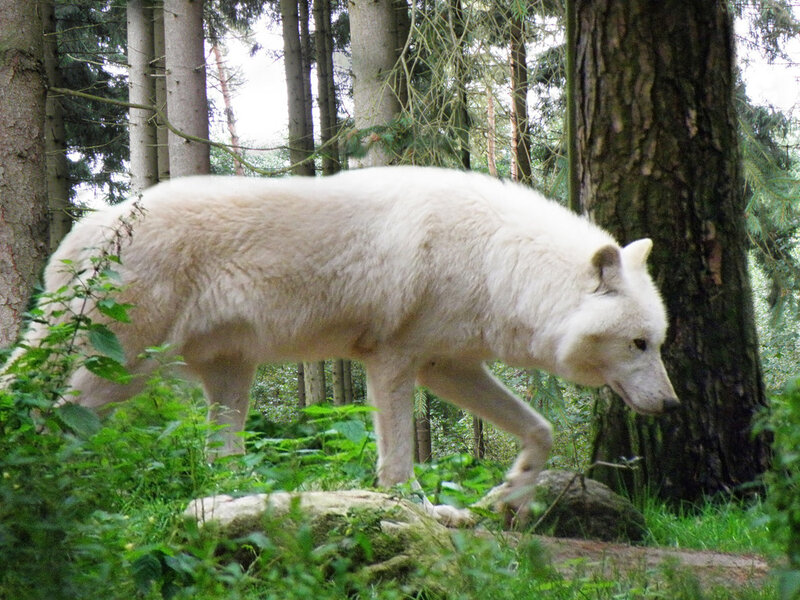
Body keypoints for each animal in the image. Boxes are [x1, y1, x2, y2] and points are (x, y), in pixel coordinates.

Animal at [6, 167, 678, 520]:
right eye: (639, 344)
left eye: (658, 342)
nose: (672, 405)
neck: (495, 261)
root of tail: (84, 229)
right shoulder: (395, 362)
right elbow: (399, 461)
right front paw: (420, 511)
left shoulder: (449, 366)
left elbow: (541, 430)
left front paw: (506, 492)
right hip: (121, 370)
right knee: (48, 418)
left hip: (228, 379)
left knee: (216, 457)